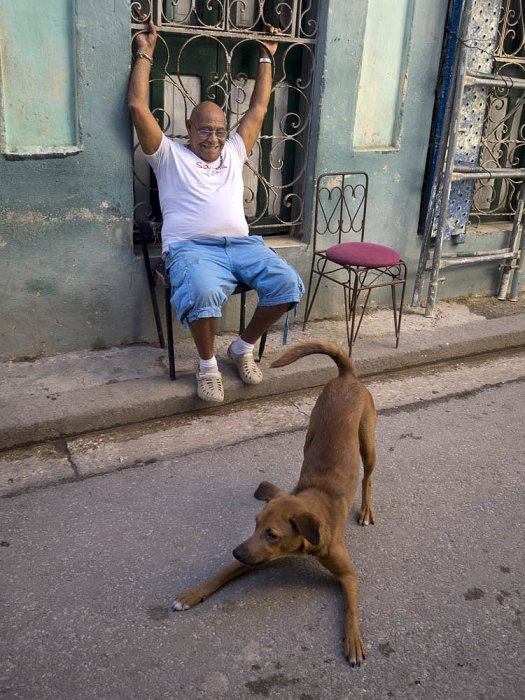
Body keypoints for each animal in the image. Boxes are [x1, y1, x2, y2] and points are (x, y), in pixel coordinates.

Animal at [173, 340, 376, 668]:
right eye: (255, 525)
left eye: (272, 534)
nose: (236, 551)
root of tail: (347, 377)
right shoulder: (252, 554)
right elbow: (220, 573)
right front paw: (192, 594)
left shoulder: (348, 575)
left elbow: (351, 609)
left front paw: (354, 641)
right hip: (310, 433)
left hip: (368, 444)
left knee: (368, 478)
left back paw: (367, 509)